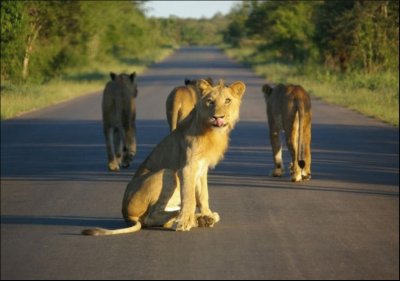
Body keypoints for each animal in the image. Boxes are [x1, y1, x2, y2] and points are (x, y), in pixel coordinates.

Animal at [82, 79, 245, 234]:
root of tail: (127, 215)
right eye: (210, 101)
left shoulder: (202, 168)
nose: (218, 117)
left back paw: (203, 219)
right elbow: (190, 197)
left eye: (227, 100)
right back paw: (190, 219)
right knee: (152, 216)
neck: (210, 130)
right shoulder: (187, 168)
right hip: (167, 173)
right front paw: (184, 222)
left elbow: (203, 194)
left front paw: (207, 213)